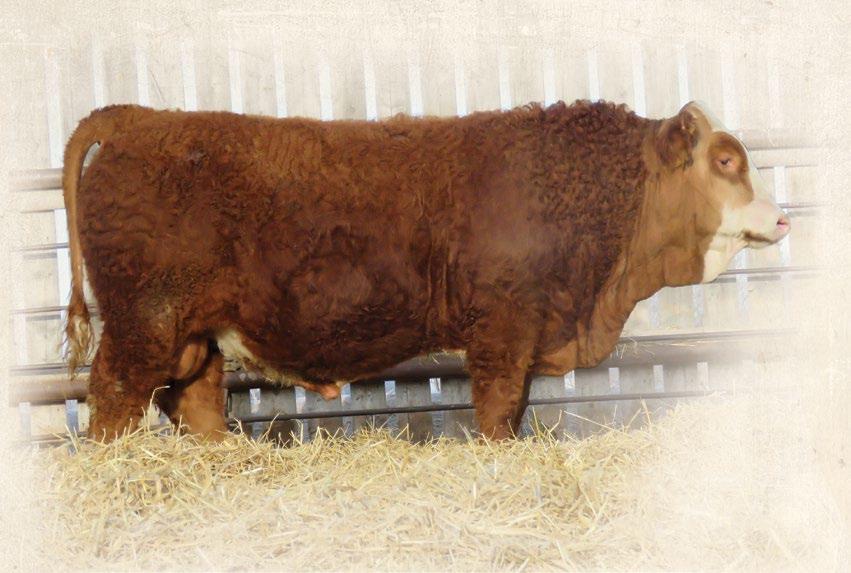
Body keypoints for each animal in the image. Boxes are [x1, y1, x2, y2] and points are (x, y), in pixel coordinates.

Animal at [61, 99, 790, 442]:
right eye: (726, 160)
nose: (782, 219)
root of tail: (138, 120)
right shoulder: (503, 330)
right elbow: (499, 412)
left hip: (193, 335)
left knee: (197, 404)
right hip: (144, 323)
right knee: (111, 398)